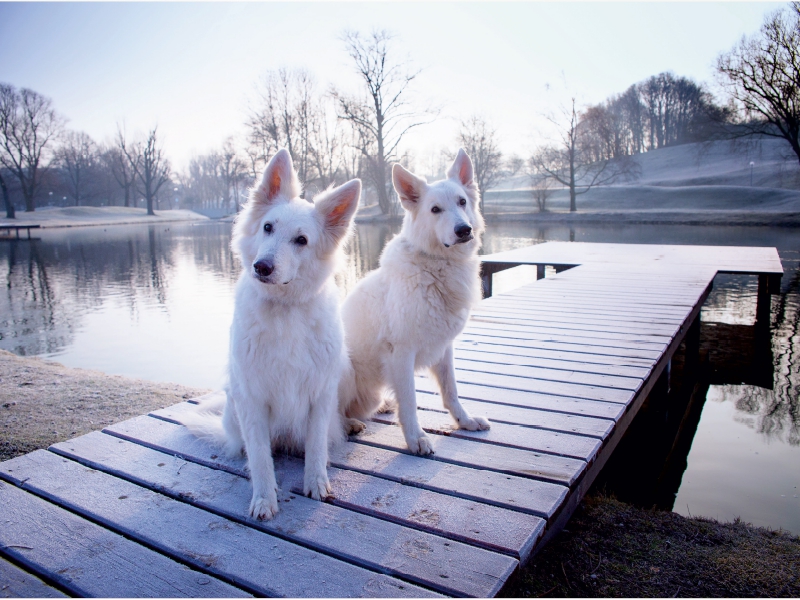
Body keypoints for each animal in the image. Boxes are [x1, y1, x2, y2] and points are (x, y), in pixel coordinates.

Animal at [181, 150, 360, 520]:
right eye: (268, 227)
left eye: (301, 240)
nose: (261, 267)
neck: (285, 309)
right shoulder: (252, 398)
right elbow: (261, 457)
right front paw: (264, 499)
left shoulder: (320, 393)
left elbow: (316, 448)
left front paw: (316, 484)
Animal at [338, 148, 488, 452]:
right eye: (435, 210)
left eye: (462, 202)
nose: (464, 230)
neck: (436, 267)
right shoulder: (401, 352)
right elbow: (409, 401)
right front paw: (415, 438)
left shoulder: (444, 348)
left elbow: (451, 391)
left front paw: (464, 421)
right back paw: (347, 424)